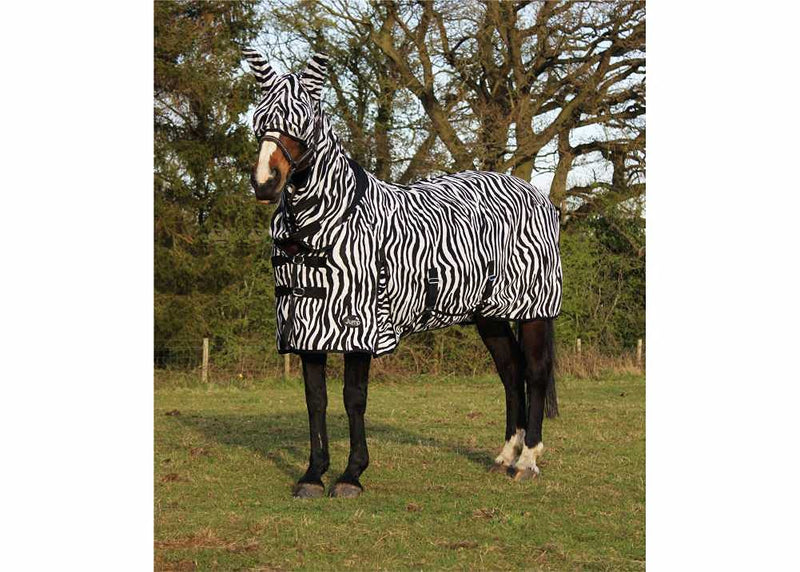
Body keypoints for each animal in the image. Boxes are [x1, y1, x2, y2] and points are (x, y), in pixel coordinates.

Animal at [244, 49, 562, 498]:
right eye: (259, 118)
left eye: (303, 119)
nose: (265, 182)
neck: (325, 226)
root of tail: (537, 196)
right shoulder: (307, 331)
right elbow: (315, 399)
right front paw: (312, 475)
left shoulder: (360, 328)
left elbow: (353, 398)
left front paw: (351, 475)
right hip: (490, 316)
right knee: (511, 373)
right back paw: (505, 456)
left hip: (533, 310)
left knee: (533, 374)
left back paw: (528, 461)